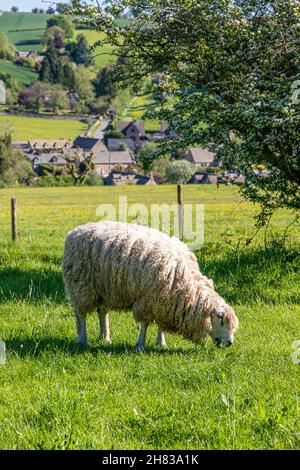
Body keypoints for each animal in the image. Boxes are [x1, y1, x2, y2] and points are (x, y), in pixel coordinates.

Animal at [62, 222, 239, 350]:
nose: (230, 343)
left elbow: (160, 324)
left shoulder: (163, 301)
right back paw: (83, 340)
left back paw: (105, 338)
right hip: (81, 286)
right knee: (81, 315)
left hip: (105, 289)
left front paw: (162, 343)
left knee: (102, 312)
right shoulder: (148, 299)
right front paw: (140, 345)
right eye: (220, 319)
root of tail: (75, 231)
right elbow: (145, 324)